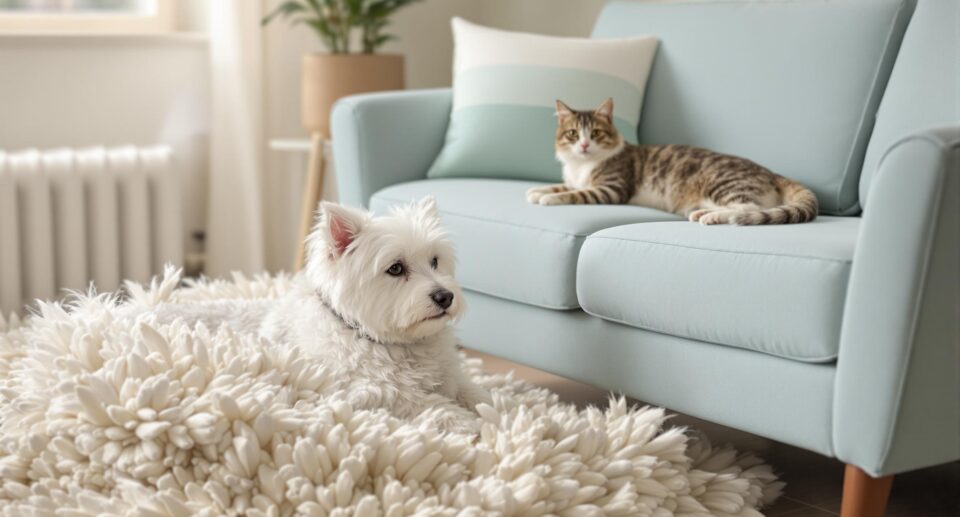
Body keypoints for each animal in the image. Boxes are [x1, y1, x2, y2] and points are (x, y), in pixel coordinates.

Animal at [524, 99, 816, 224]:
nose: (584, 145)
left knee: (747, 208)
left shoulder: (612, 188)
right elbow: (567, 186)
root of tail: (773, 173)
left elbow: (578, 193)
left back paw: (710, 216)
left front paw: (548, 198)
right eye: (573, 134)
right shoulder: (576, 179)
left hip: (725, 184)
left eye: (595, 133)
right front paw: (536, 190)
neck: (581, 165)